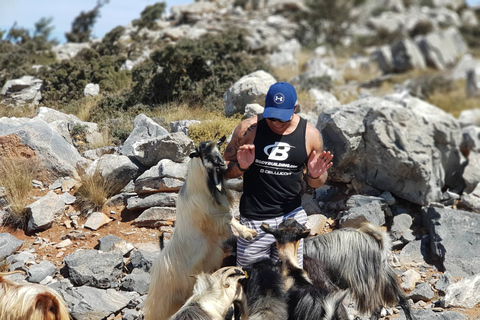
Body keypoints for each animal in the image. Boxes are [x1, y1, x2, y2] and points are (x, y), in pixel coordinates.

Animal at [142, 136, 256, 318]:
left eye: (218, 147)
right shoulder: (214, 220)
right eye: (204, 153)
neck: (199, 190)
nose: (223, 164)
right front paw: (248, 232)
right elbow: (230, 218)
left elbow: (230, 216)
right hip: (163, 305)